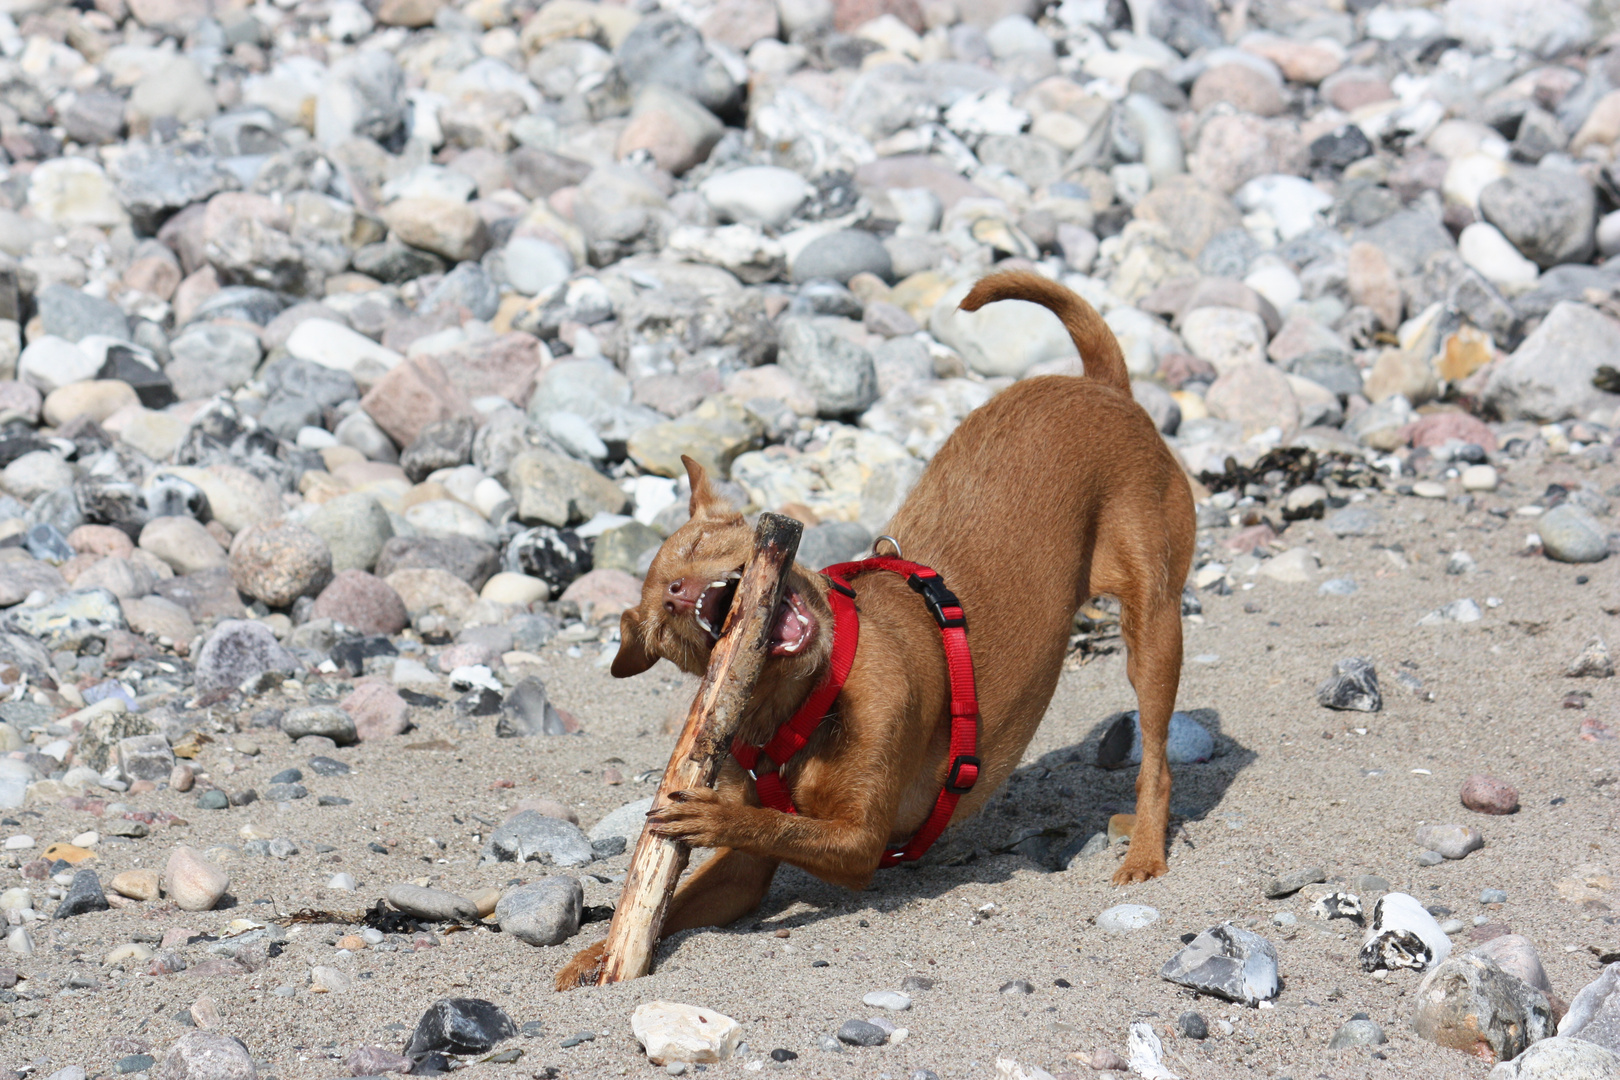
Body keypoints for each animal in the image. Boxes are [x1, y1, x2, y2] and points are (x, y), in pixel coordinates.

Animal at [557, 270, 1192, 990]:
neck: (805, 701)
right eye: (664, 620)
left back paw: (1144, 852)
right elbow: (710, 878)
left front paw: (713, 815)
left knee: (1157, 759)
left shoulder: (862, 840)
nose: (677, 592)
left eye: (703, 543)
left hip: (1154, 625)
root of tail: (1102, 386)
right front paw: (594, 954)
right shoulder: (746, 875)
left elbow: (772, 824)